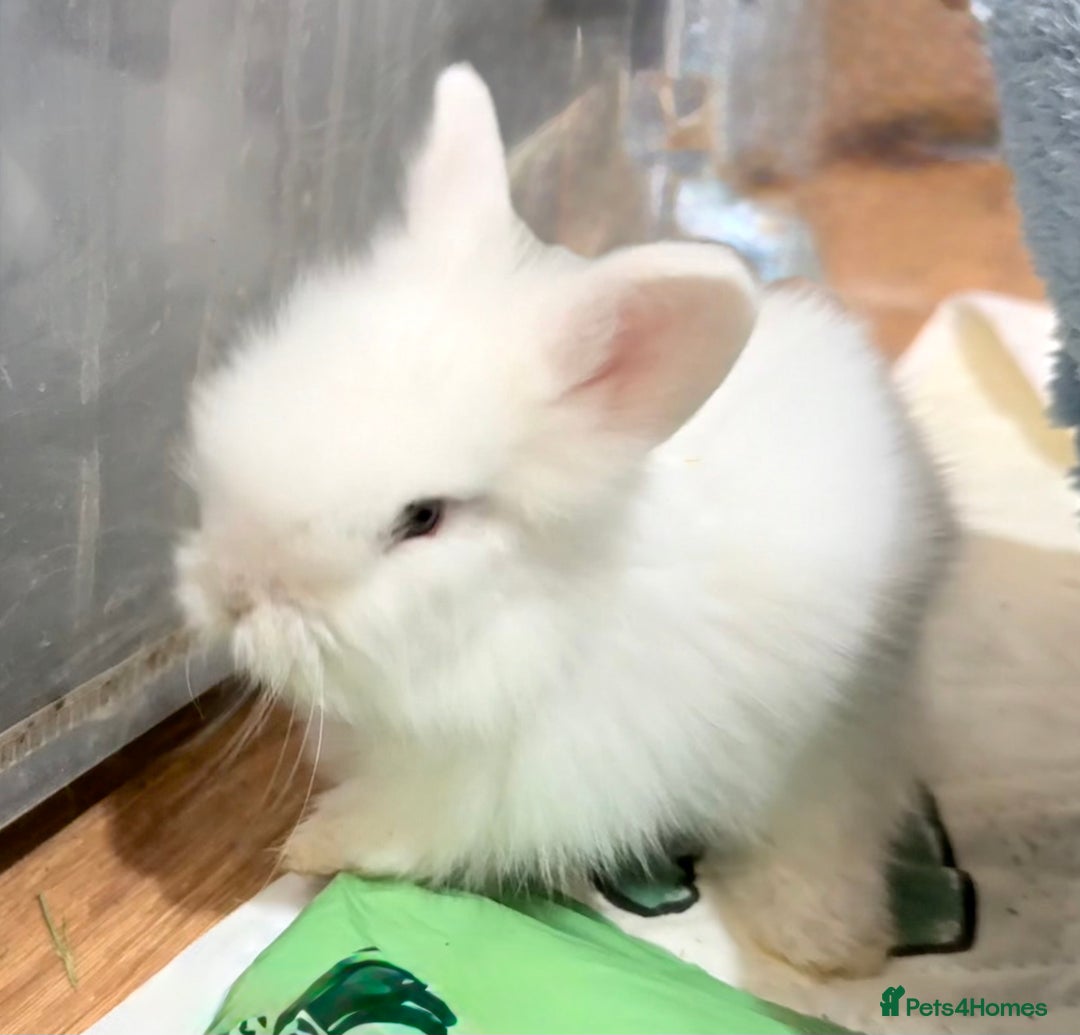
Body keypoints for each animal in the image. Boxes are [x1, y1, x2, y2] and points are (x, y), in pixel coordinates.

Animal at [175, 64, 954, 979]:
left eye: (422, 517)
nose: (232, 593)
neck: (522, 621)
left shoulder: (493, 783)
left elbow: (403, 827)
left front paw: (307, 844)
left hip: (837, 736)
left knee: (830, 825)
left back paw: (827, 945)